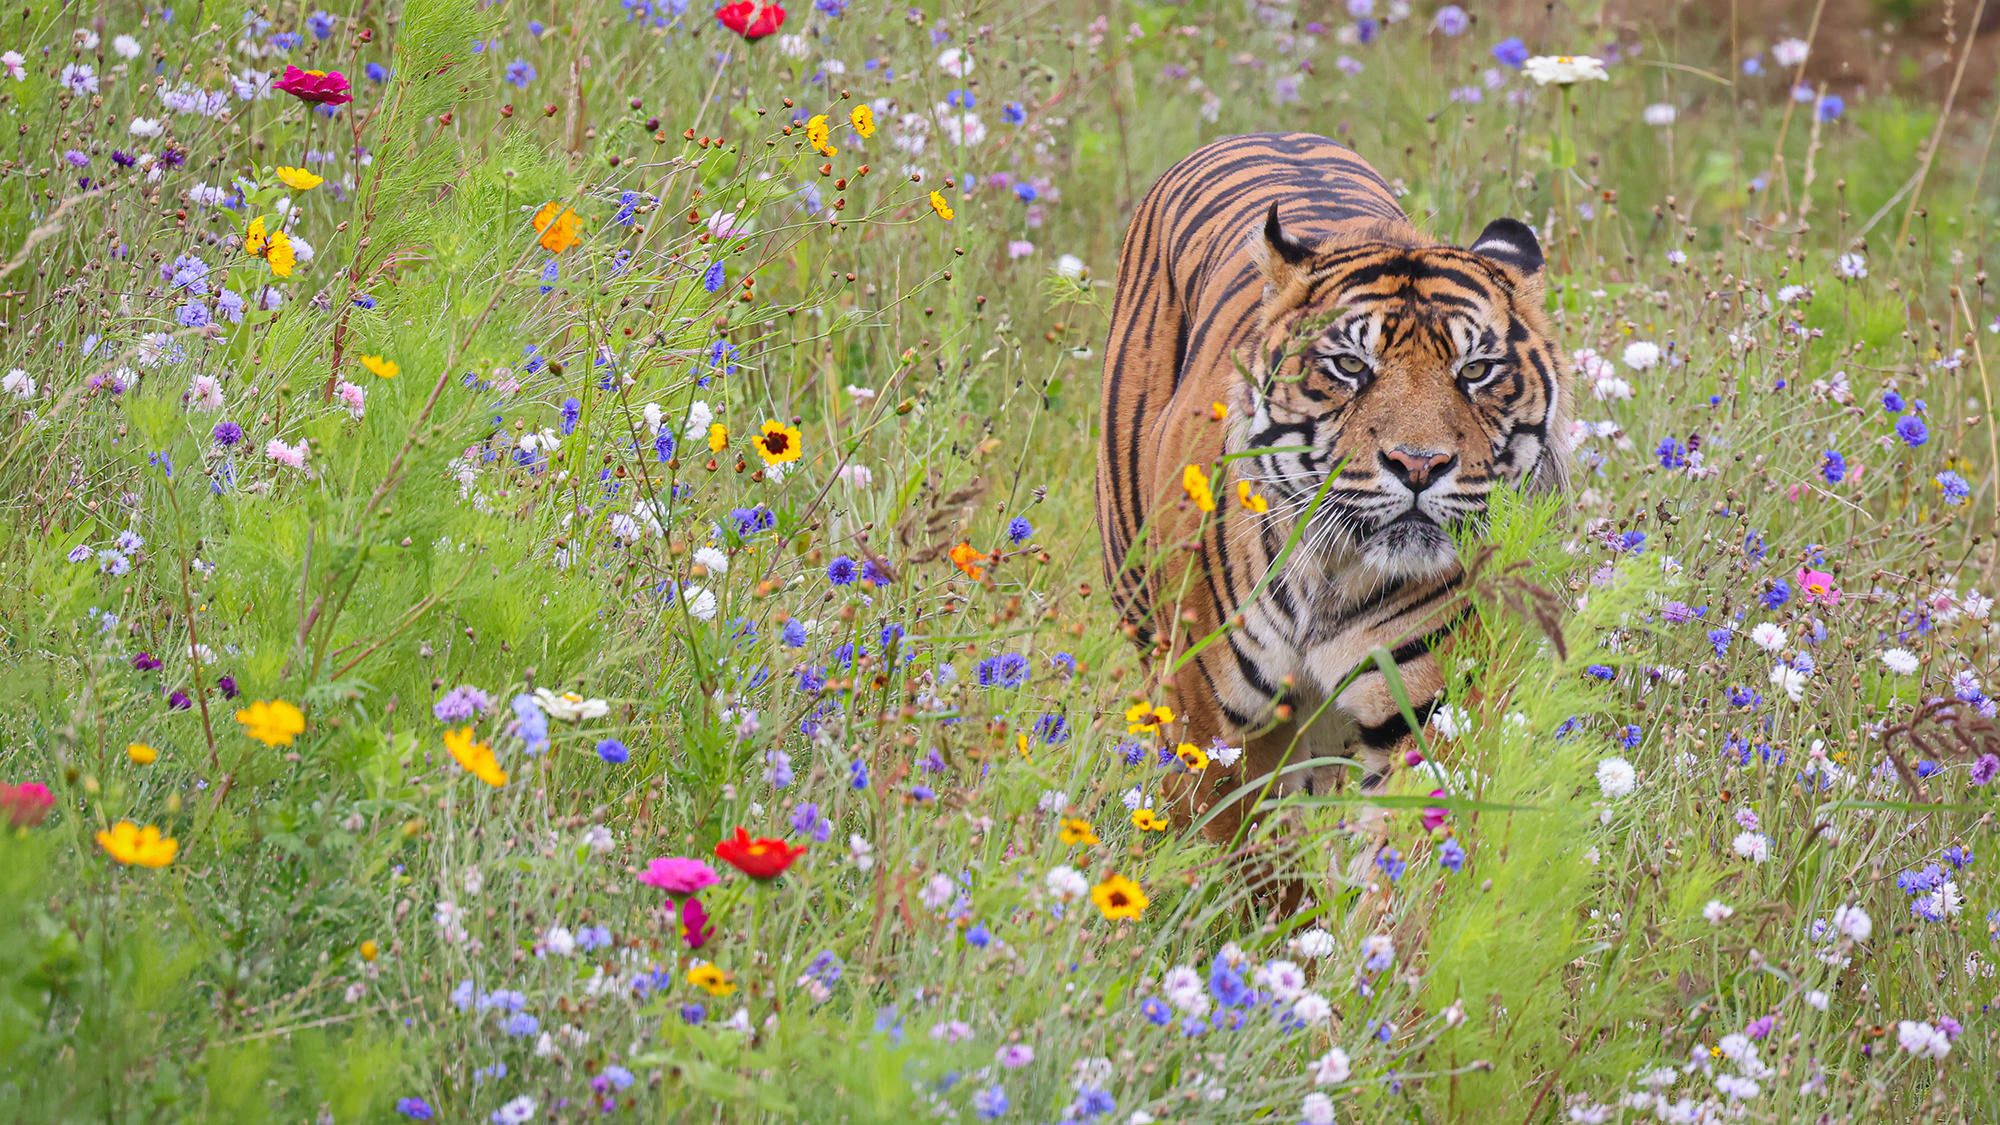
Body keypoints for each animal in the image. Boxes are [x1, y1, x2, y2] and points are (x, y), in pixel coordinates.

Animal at [1096, 132, 1571, 844]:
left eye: (1476, 371)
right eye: (1350, 365)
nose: (1419, 464)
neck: (1332, 579)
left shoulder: (1425, 719)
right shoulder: (1214, 725)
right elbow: (1239, 853)